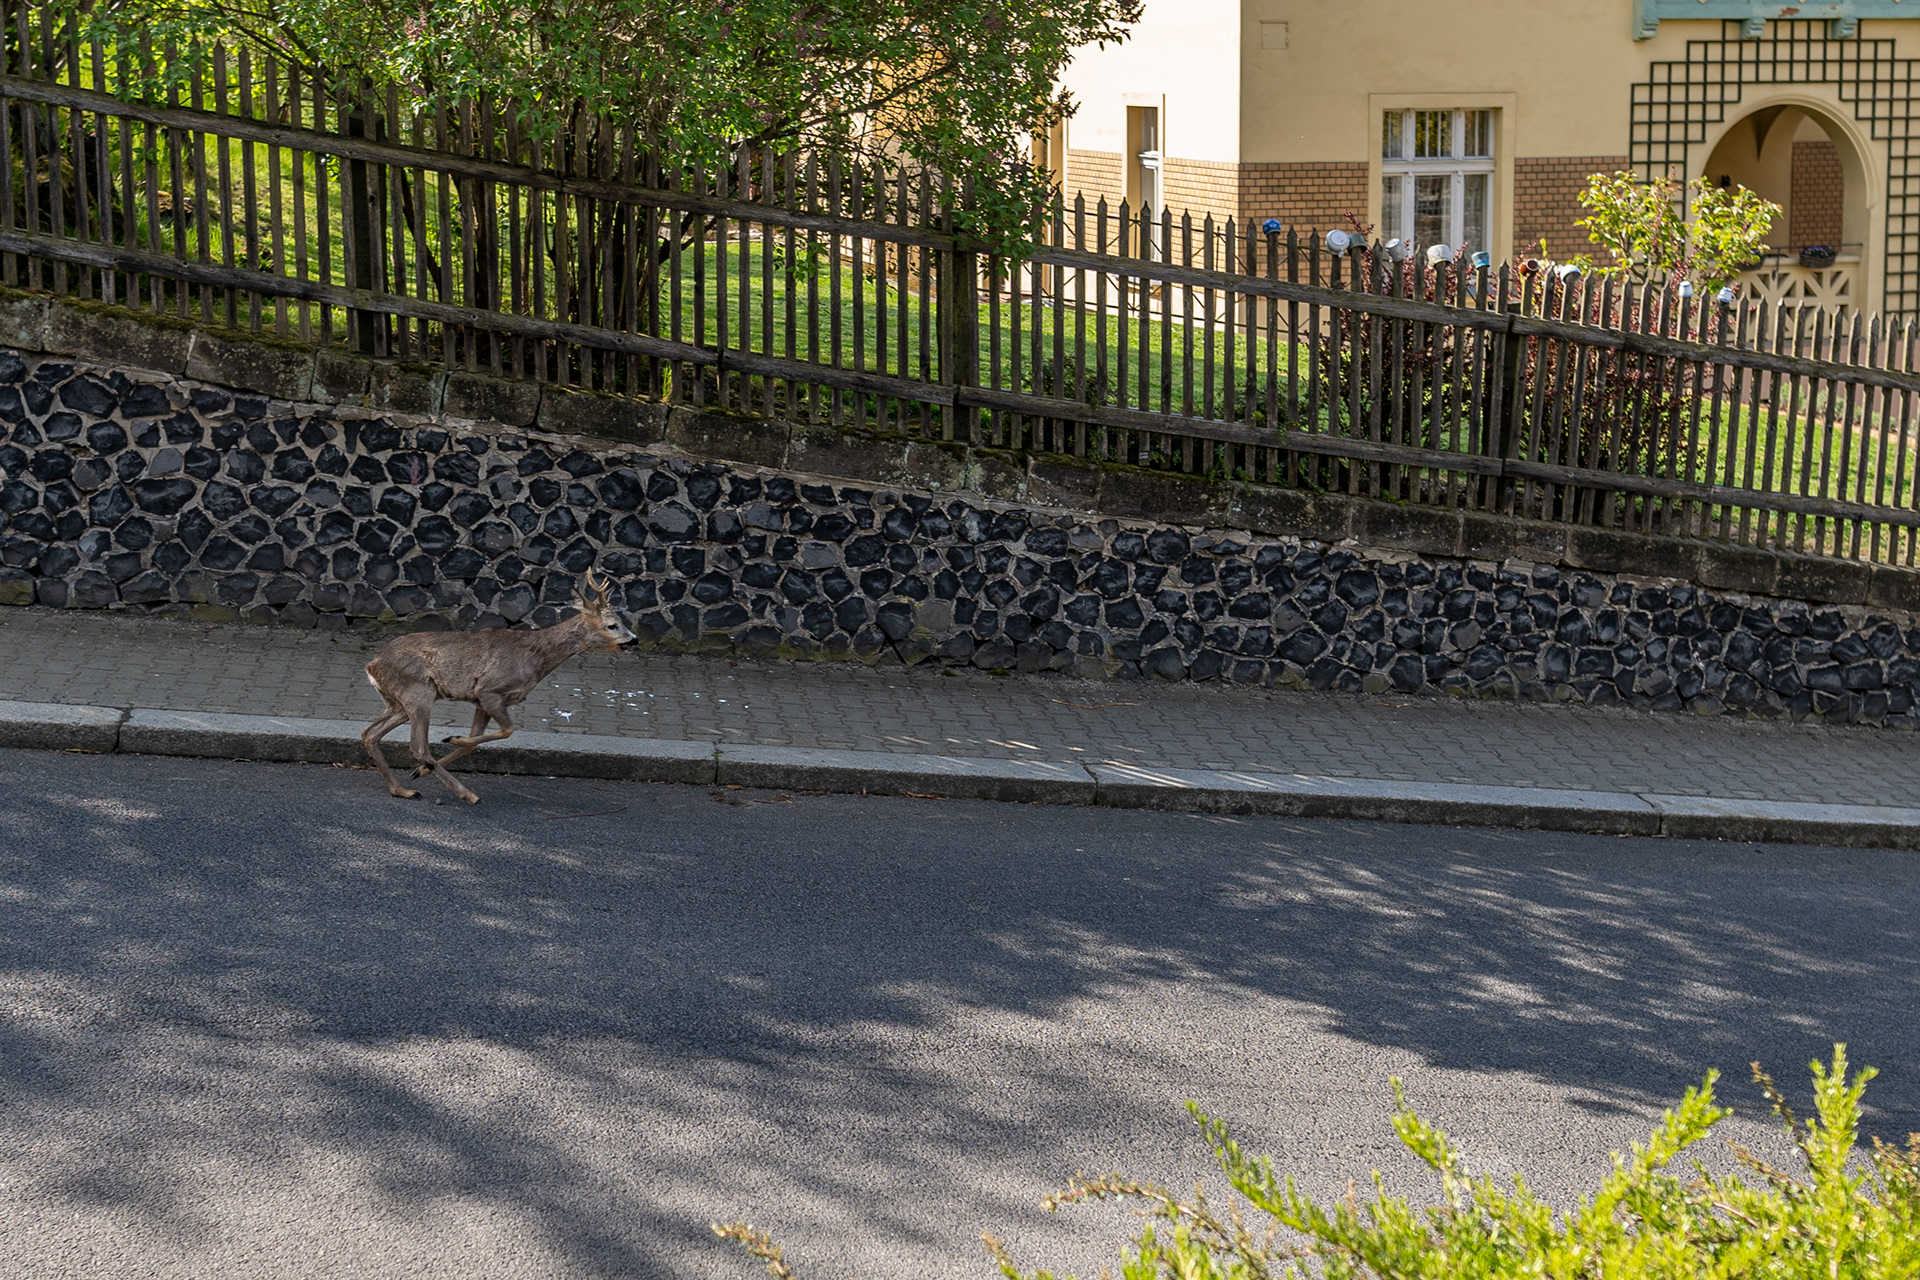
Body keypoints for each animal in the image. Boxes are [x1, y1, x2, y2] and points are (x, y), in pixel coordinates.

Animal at [361, 567, 636, 803]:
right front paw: (451, 739)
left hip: (397, 702)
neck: (535, 657)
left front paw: (428, 765)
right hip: (418, 692)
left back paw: (402, 790)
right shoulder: (489, 690)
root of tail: (371, 665)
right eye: (612, 625)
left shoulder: (480, 700)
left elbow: (475, 741)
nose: (633, 640)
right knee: (417, 747)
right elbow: (507, 731)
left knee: (370, 734)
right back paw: (467, 794)